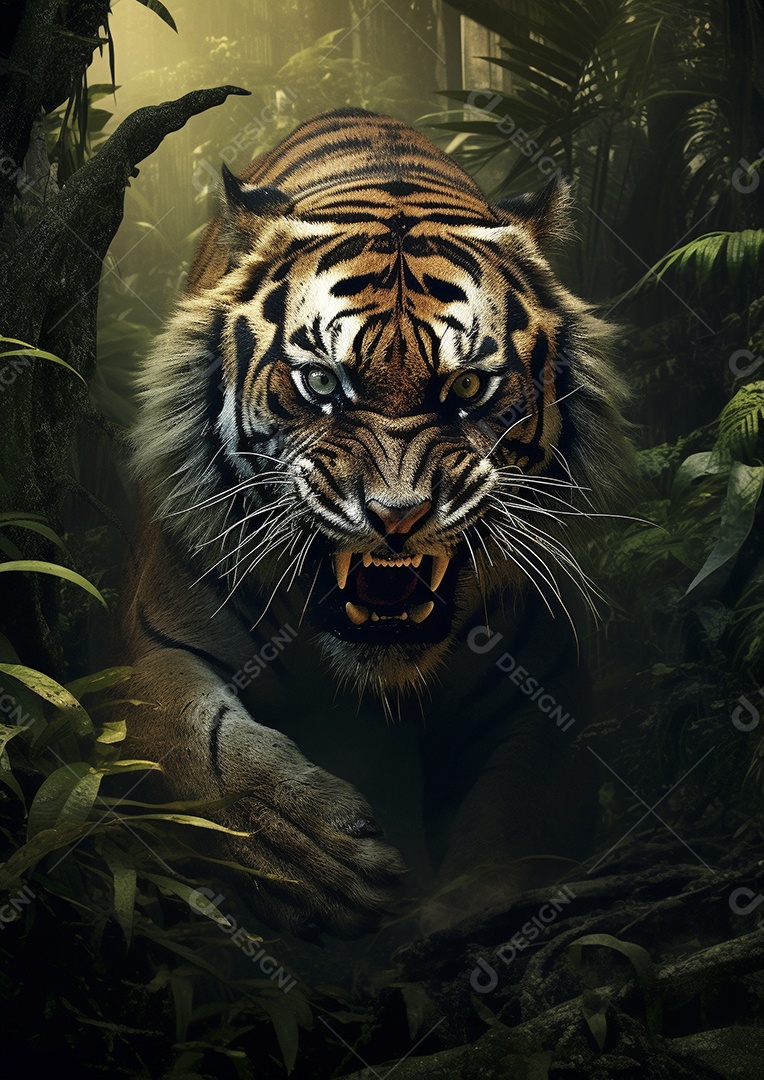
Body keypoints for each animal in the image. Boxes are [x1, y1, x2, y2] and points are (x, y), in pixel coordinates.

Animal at [120, 108, 630, 939]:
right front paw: (311, 856)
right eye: (322, 382)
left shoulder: (544, 693)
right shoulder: (157, 646)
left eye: (468, 386)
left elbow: (514, 829)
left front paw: (457, 921)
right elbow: (199, 750)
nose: (397, 517)